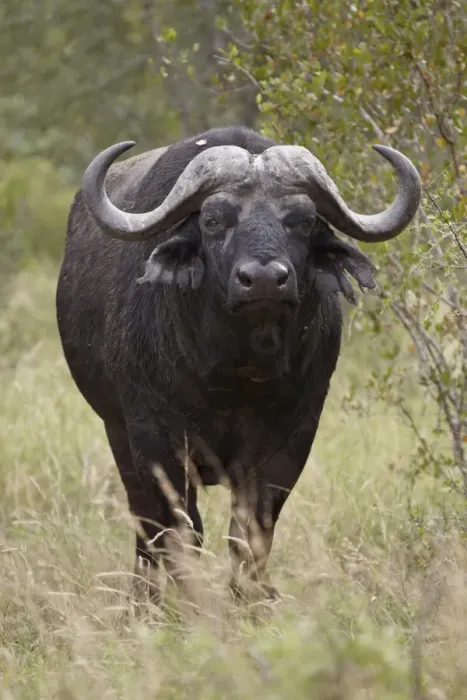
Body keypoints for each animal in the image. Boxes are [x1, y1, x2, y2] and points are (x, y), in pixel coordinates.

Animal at [56, 126, 421, 602]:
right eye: (213, 220)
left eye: (303, 220)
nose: (264, 279)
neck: (235, 373)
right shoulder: (153, 437)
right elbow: (180, 528)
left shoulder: (291, 438)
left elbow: (251, 531)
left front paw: (251, 599)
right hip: (116, 431)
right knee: (145, 523)